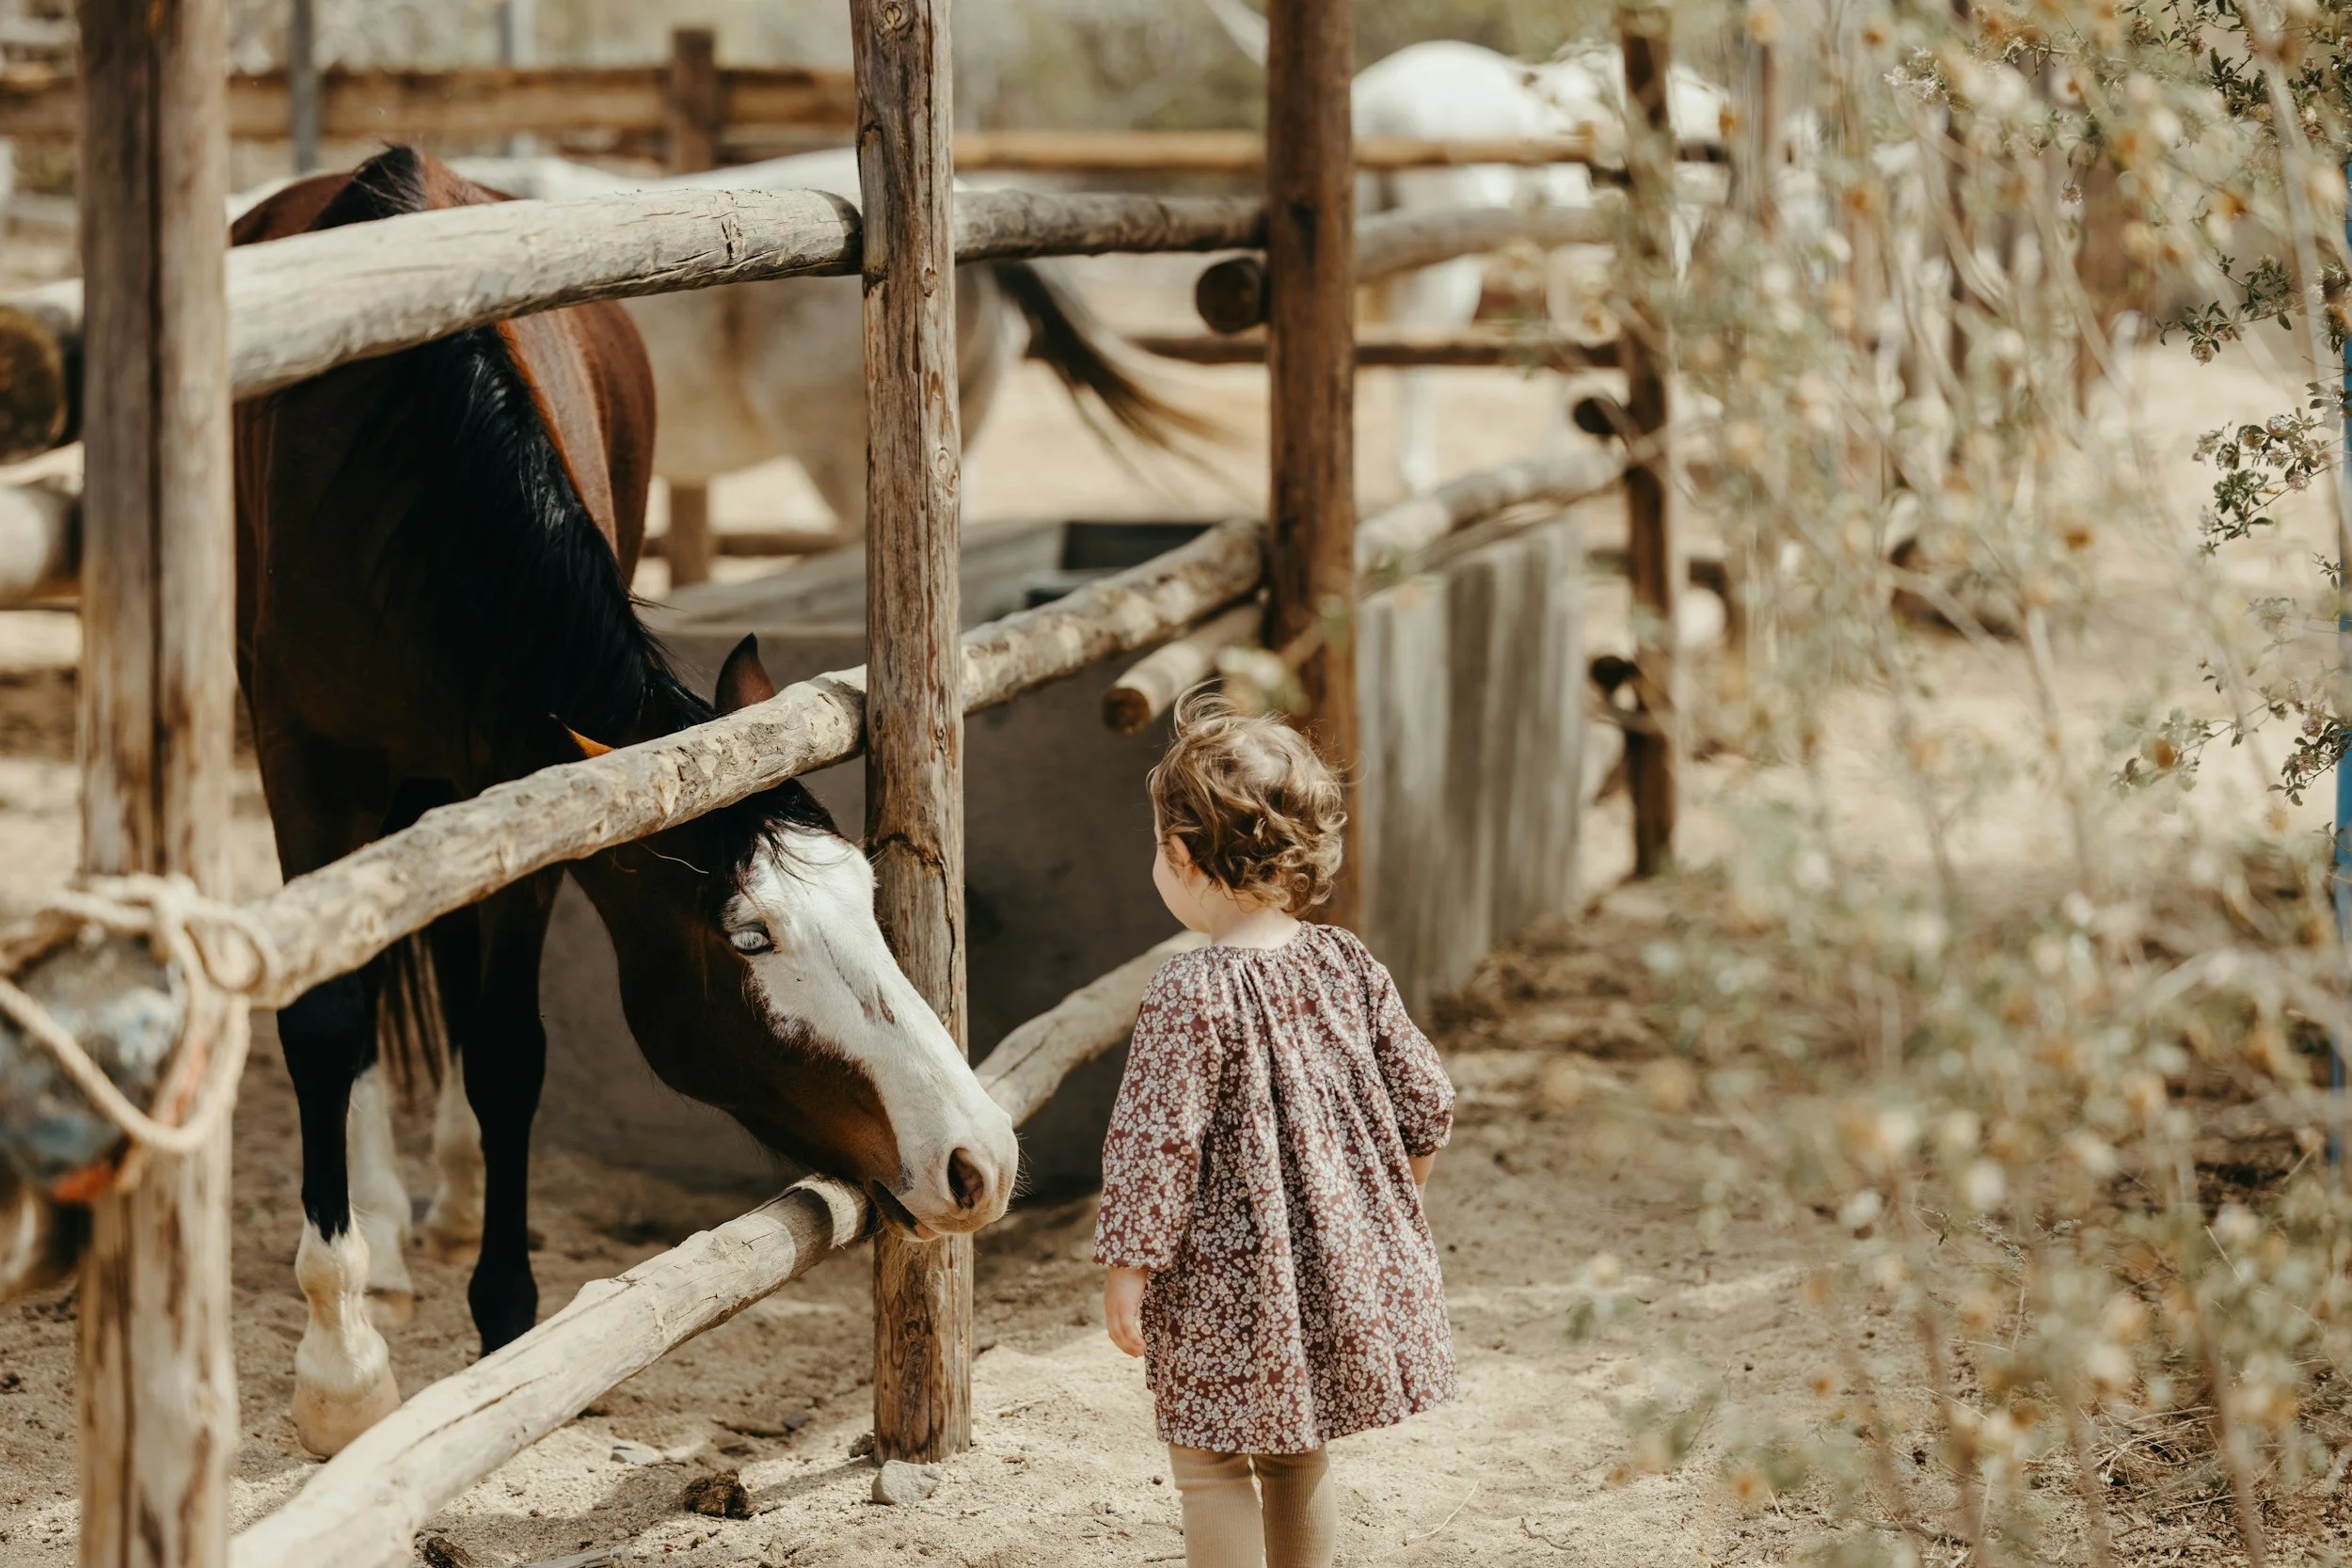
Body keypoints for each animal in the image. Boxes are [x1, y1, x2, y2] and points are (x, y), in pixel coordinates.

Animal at [233, 146, 1019, 1458]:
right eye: (748, 935)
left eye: (870, 896)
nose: (979, 1158)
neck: (398, 482)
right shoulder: (303, 759)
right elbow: (328, 1020)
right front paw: (340, 1368)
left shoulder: (522, 791)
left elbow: (505, 1044)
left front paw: (506, 1321)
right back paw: (380, 1234)